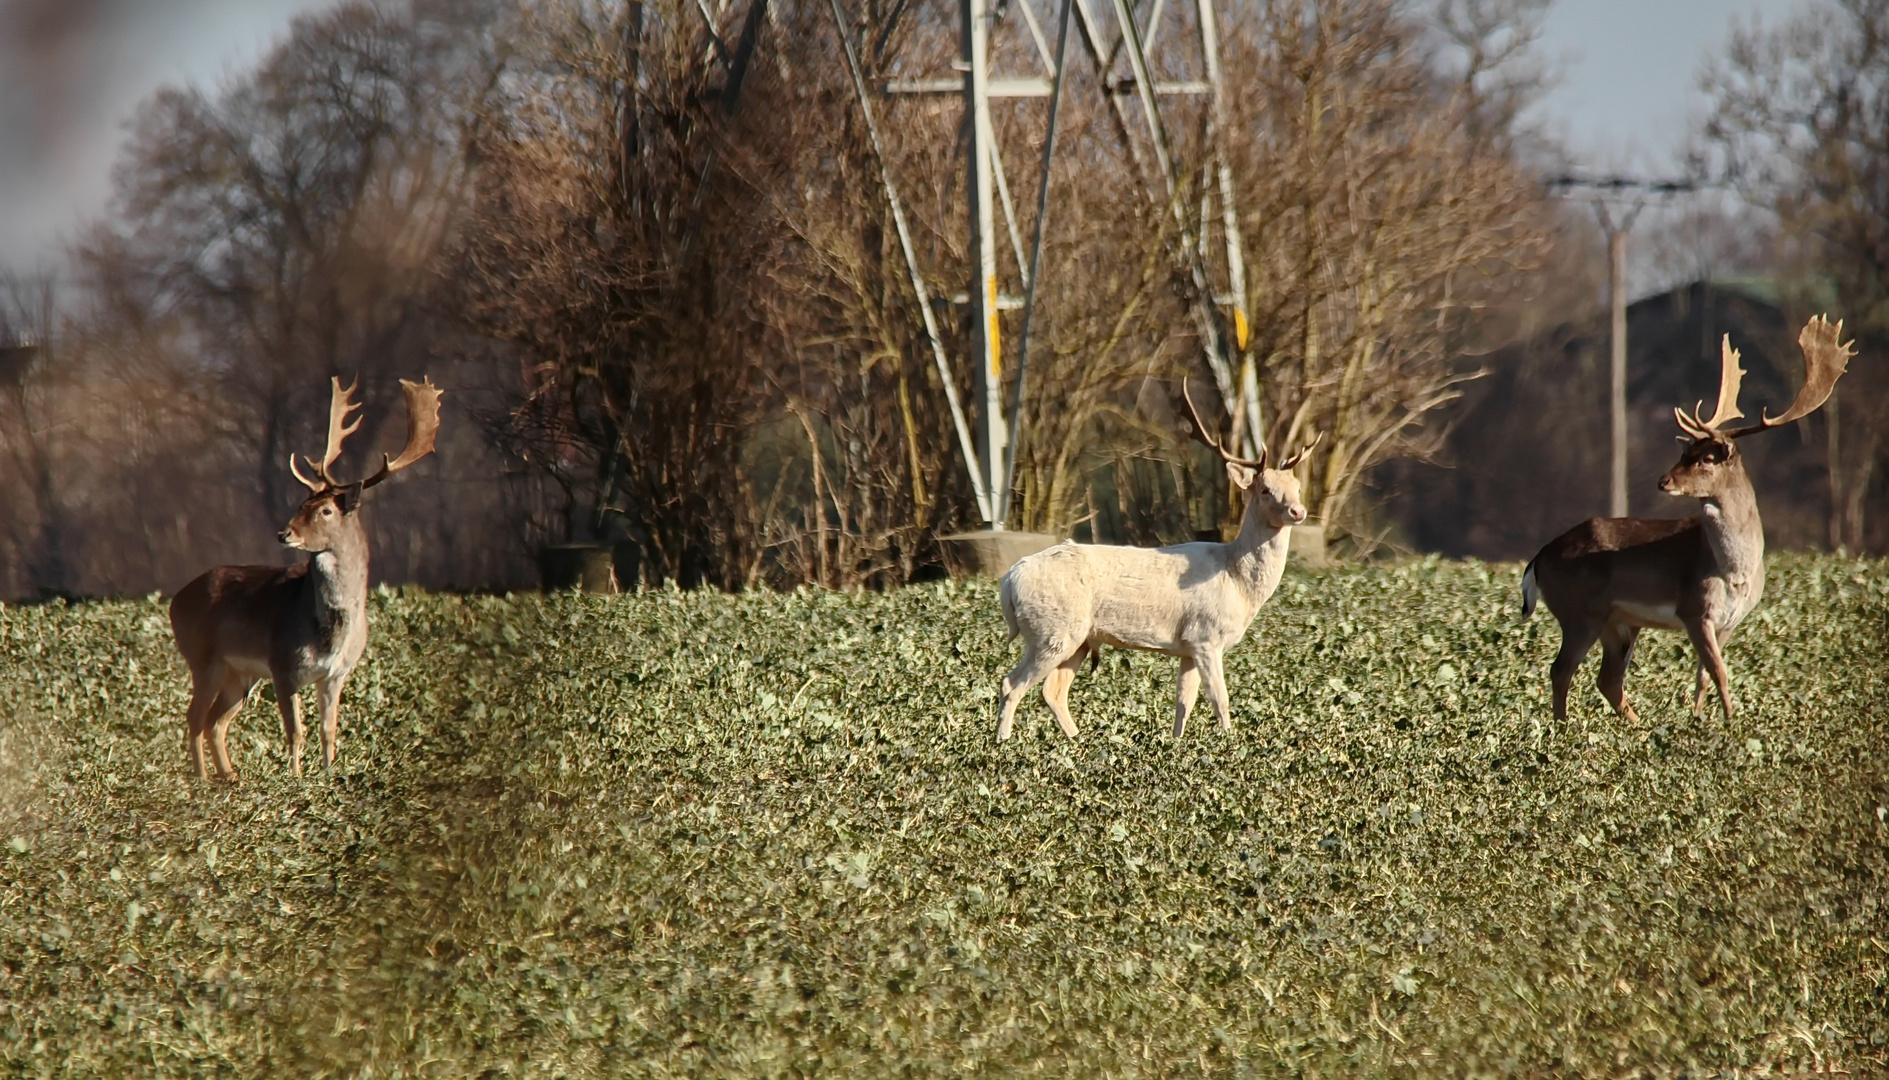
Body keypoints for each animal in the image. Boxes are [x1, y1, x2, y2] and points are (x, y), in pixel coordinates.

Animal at [170, 375, 442, 781]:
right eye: (301, 505)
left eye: (325, 510)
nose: (284, 533)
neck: (329, 633)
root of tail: (175, 599)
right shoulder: (283, 666)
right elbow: (295, 731)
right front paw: (295, 779)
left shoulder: (336, 674)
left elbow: (329, 730)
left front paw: (329, 778)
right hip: (202, 657)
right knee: (195, 718)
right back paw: (202, 781)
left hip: (240, 674)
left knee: (216, 721)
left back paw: (229, 777)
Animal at [997, 381, 1322, 743]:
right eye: (1265, 489)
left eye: (1296, 486)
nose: (1298, 511)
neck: (1237, 581)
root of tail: (1009, 580)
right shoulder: (1206, 635)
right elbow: (1219, 698)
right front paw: (1229, 744)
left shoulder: (1188, 646)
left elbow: (1184, 701)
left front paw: (1177, 744)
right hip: (1051, 630)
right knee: (1011, 683)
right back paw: (1003, 745)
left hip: (1076, 637)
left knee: (1053, 690)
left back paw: (1076, 743)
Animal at [1526, 317, 1851, 725]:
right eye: (1685, 452)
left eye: (1706, 458)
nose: (1663, 480)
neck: (1735, 570)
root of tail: (1538, 558)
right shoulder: (1694, 609)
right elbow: (1719, 671)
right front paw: (1729, 723)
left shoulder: (1729, 620)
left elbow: (1705, 675)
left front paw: (1701, 722)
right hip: (1579, 610)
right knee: (1562, 669)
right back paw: (1563, 730)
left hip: (1619, 622)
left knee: (1608, 679)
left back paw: (1637, 728)